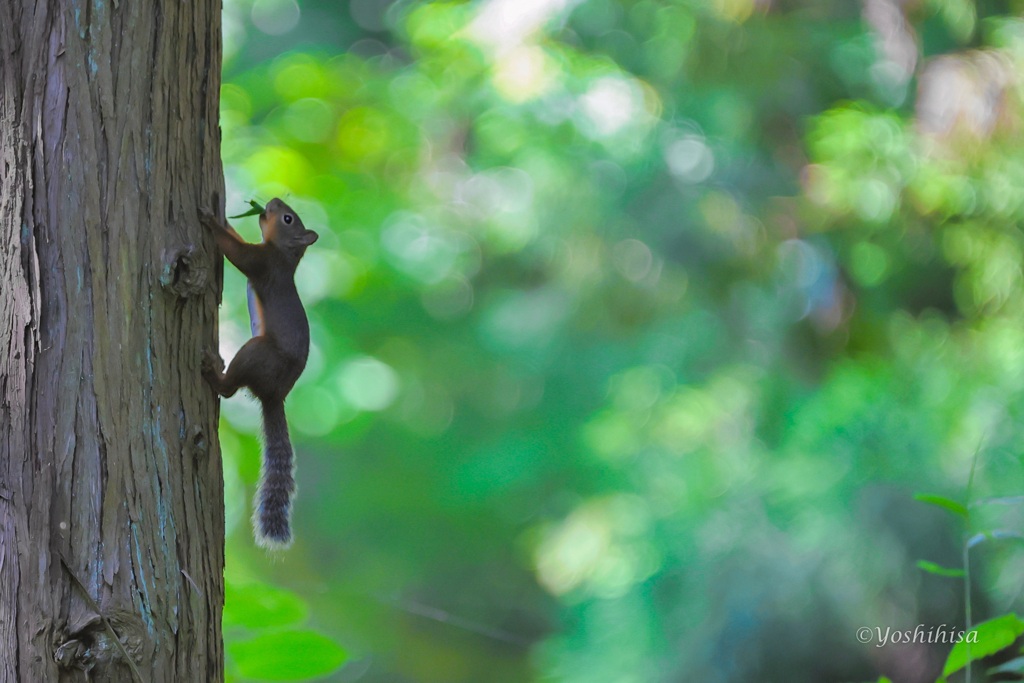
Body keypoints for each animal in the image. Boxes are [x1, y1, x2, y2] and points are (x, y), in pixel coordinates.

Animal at [196, 194, 315, 548]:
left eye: (288, 218)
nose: (272, 200)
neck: (284, 255)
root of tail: (274, 394)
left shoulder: (262, 263)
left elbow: (237, 253)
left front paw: (211, 220)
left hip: (256, 353)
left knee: (229, 389)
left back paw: (213, 370)